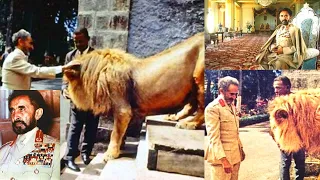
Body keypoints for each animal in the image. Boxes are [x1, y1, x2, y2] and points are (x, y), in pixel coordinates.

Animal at [62, 32, 205, 162]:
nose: (65, 91)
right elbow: (121, 131)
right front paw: (120, 147)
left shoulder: (123, 110)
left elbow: (115, 133)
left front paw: (110, 154)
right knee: (191, 106)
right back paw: (174, 117)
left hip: (200, 78)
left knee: (202, 108)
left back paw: (189, 124)